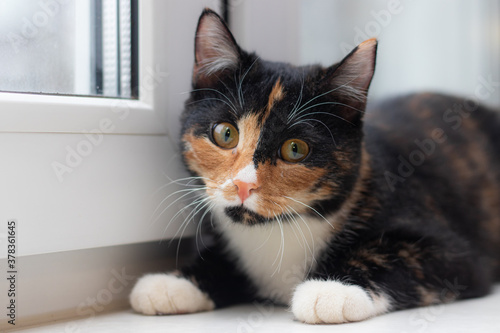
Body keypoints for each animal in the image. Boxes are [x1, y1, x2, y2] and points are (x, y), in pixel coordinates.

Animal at [130, 7, 500, 322]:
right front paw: (175, 282)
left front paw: (333, 289)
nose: (243, 184)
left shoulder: (458, 256)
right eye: (225, 133)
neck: (281, 229)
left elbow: (395, 254)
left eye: (296, 149)